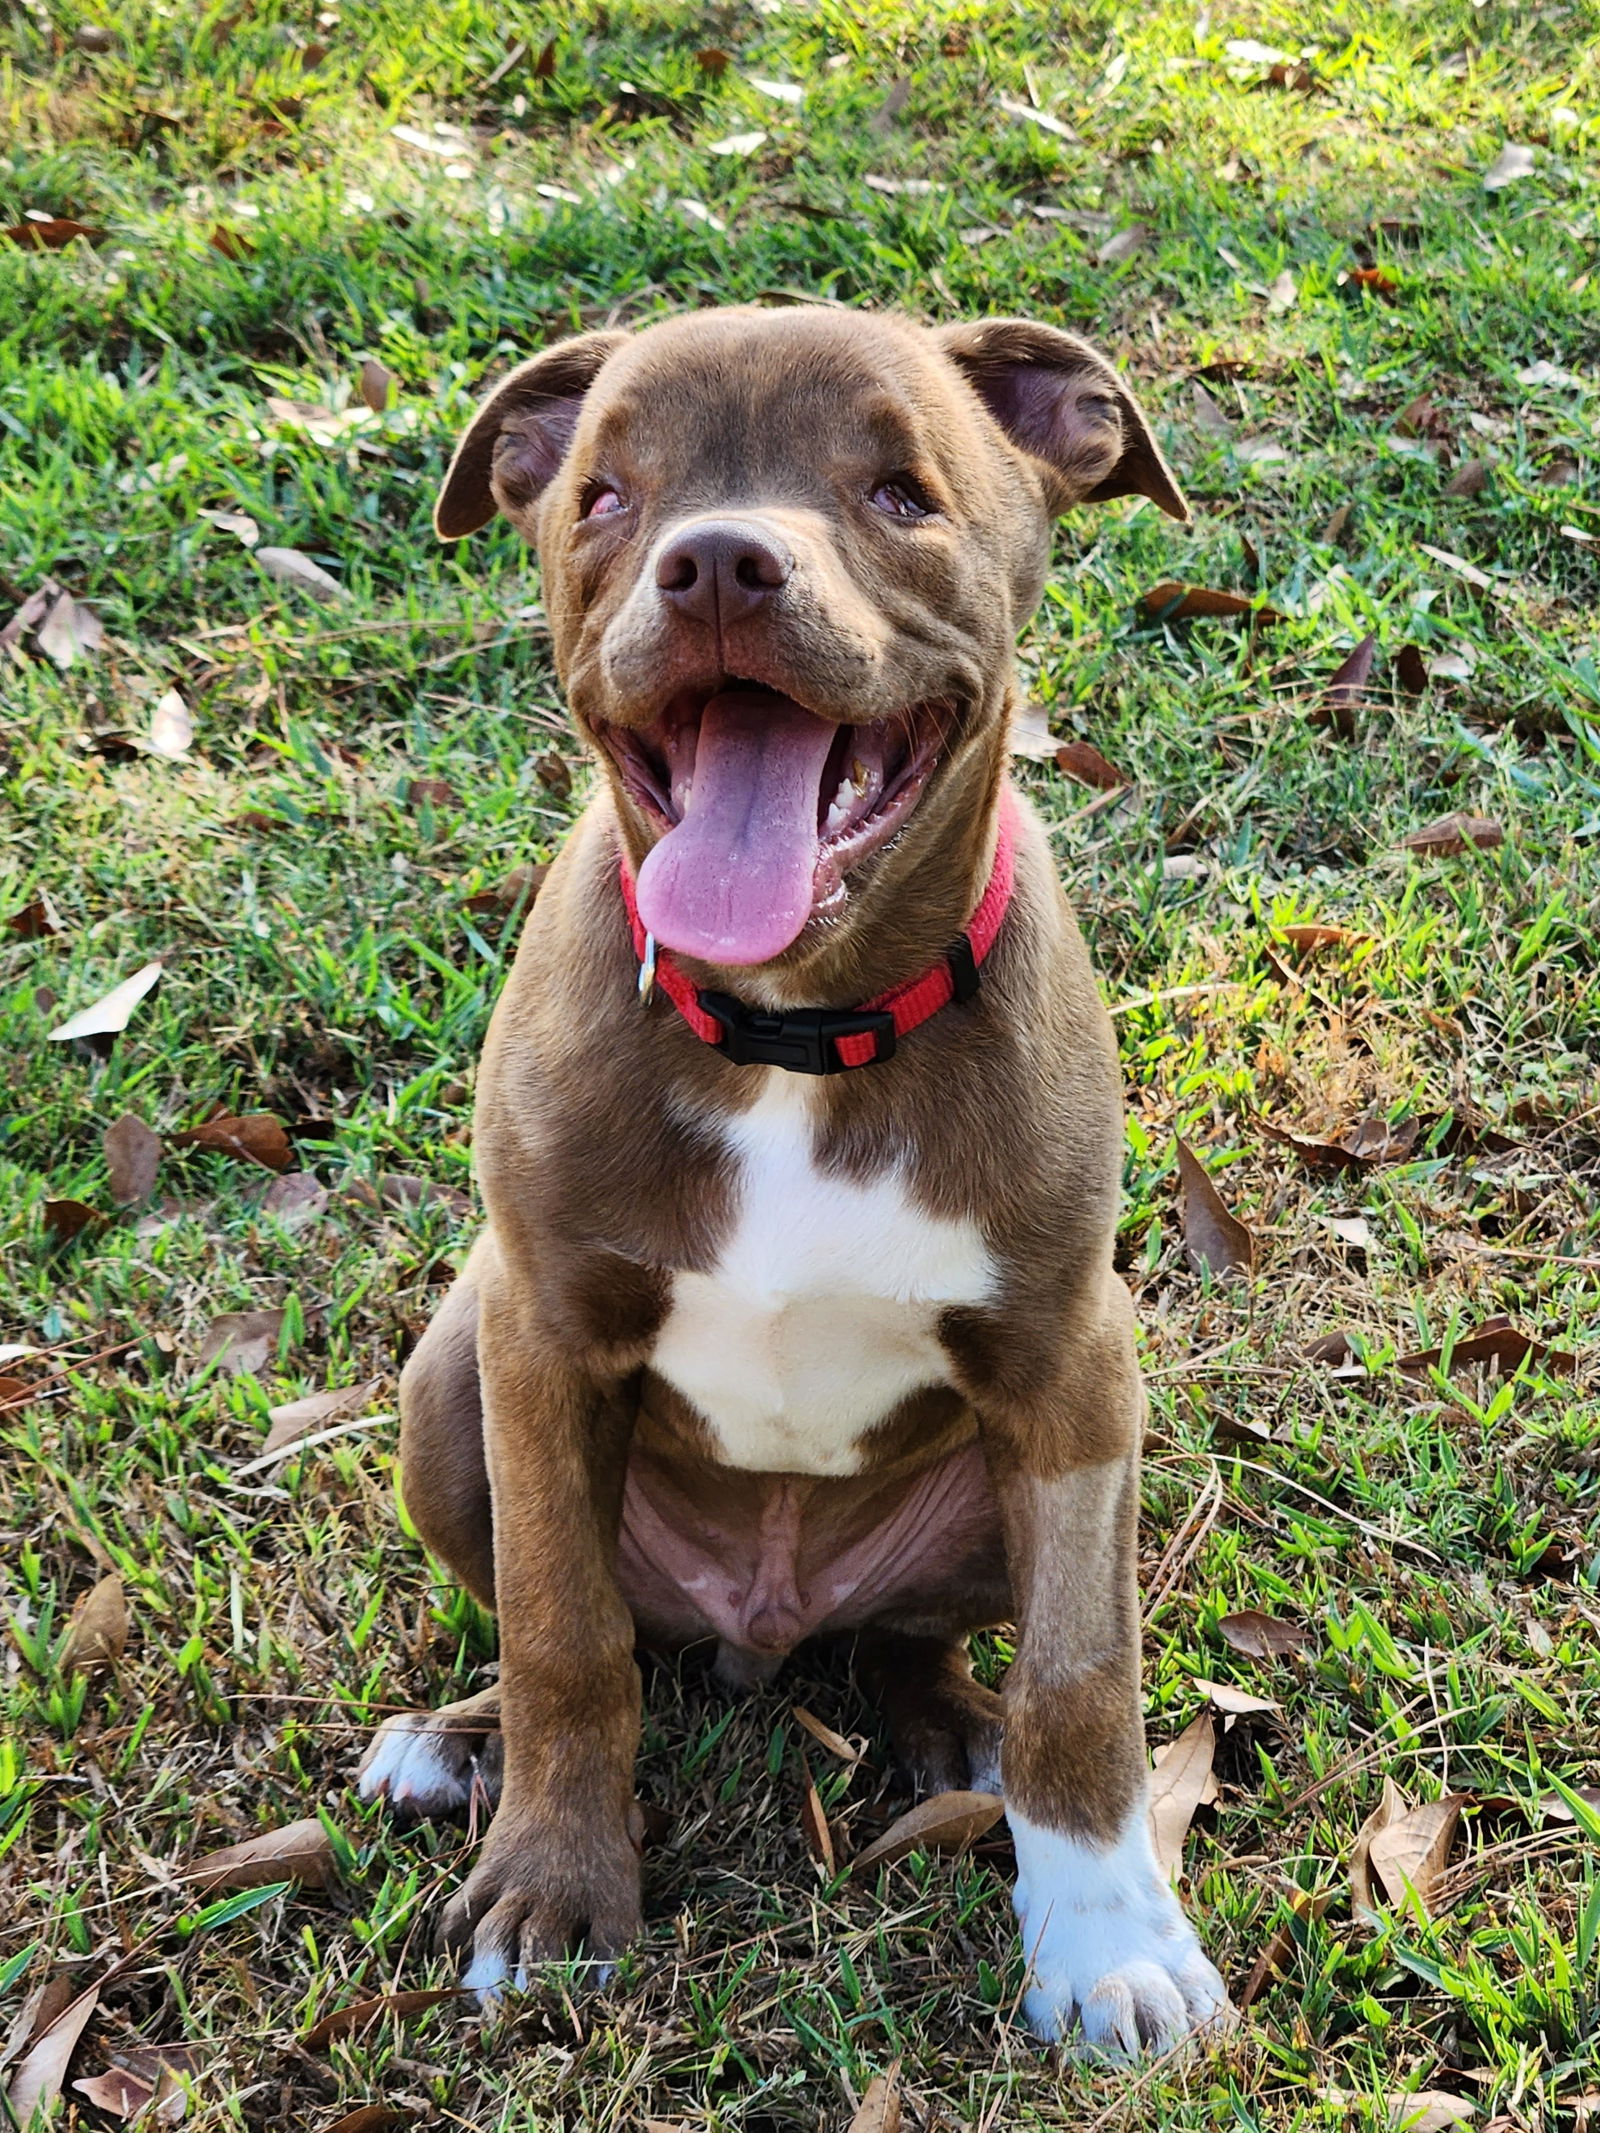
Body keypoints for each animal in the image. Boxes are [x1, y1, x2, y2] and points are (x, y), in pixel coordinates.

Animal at [360, 300, 1237, 2047]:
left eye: (901, 494)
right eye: (607, 494)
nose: (713, 566)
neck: (792, 1033)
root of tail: (764, 1627)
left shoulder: (1074, 1363)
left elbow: (1082, 1676)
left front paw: (1107, 1939)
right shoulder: (543, 1342)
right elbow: (566, 1635)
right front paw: (555, 1882)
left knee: (919, 1639)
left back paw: (955, 1731)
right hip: (448, 1382)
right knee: (598, 1624)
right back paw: (465, 1738)